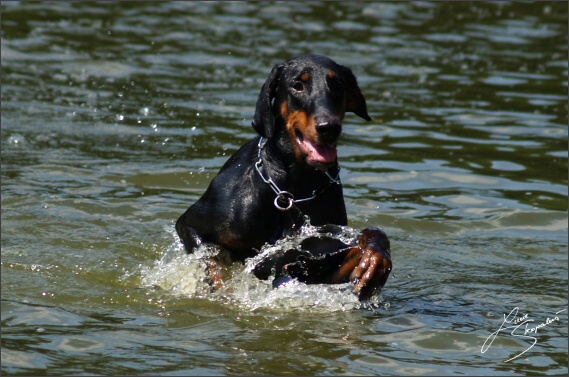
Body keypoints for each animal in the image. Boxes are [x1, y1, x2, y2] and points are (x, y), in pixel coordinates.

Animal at [176, 53, 390, 300]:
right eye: (297, 85)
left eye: (337, 84)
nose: (329, 127)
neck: (293, 189)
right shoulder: (190, 224)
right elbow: (212, 261)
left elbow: (371, 236)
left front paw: (374, 260)